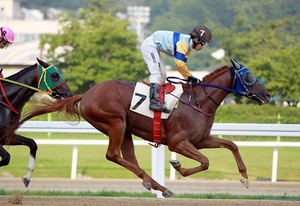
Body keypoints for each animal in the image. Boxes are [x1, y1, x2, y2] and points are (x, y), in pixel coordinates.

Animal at [0, 58, 73, 187]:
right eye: (55, 75)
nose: (70, 94)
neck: (5, 100)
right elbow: (6, 158)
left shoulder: (5, 136)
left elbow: (32, 144)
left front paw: (27, 178)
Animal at [8, 59, 270, 196]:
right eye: (248, 76)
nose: (267, 95)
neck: (197, 102)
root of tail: (87, 94)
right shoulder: (179, 142)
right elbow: (205, 162)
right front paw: (178, 166)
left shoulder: (200, 140)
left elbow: (231, 144)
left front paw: (245, 179)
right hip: (116, 122)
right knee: (113, 155)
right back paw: (159, 185)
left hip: (125, 130)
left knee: (128, 158)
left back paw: (153, 184)